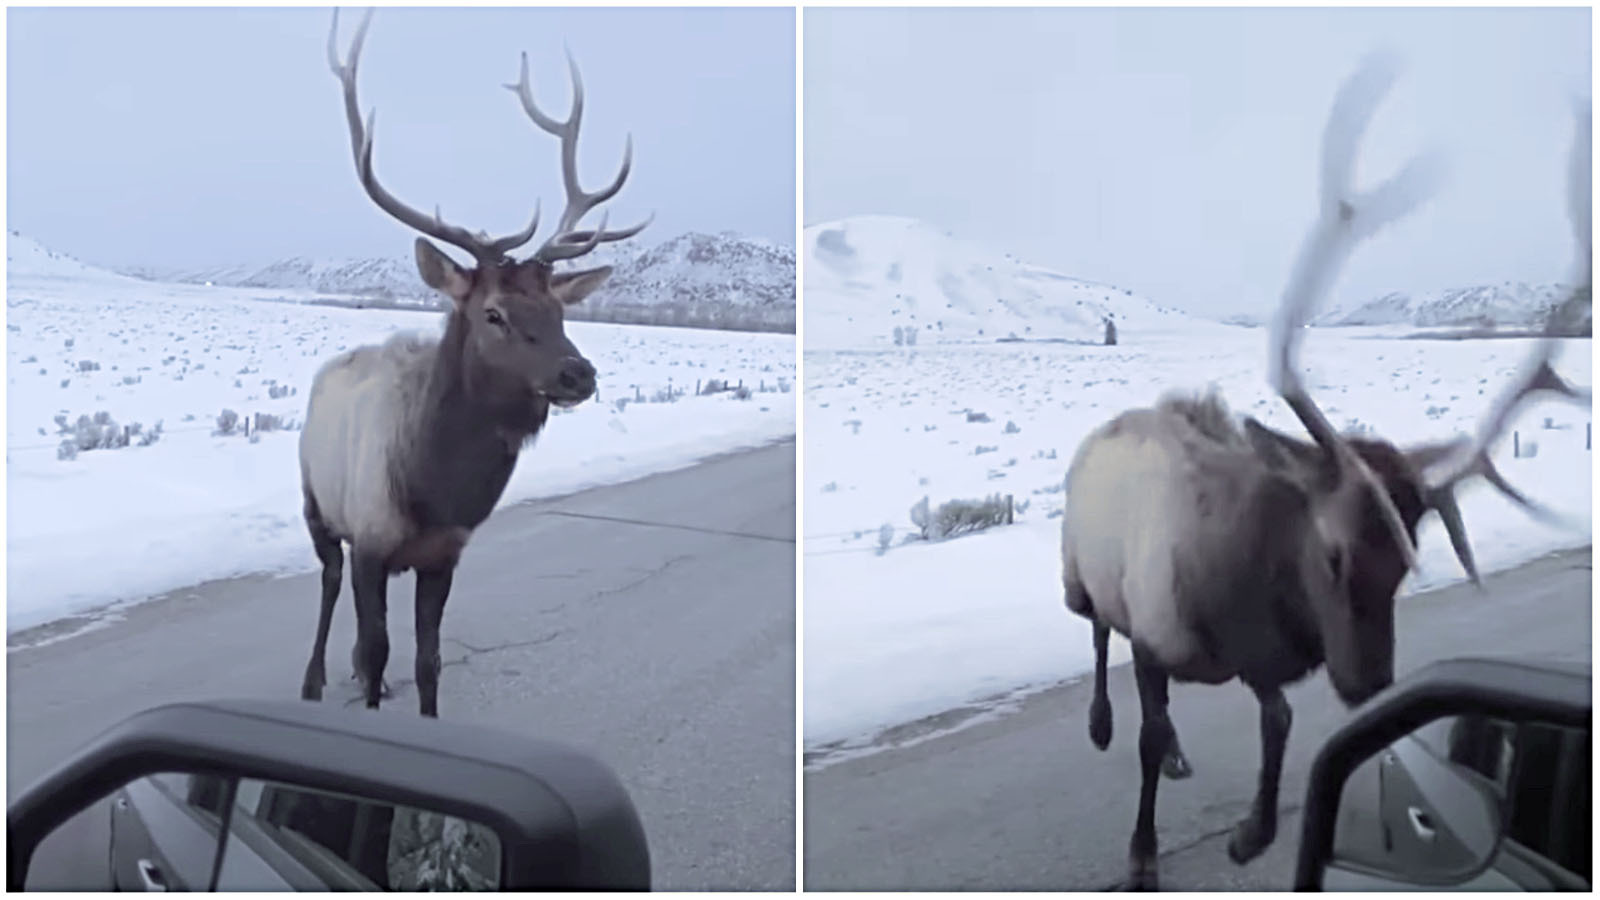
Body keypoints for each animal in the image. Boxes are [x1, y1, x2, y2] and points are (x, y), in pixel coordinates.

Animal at [298, 9, 651, 717]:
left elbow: (427, 661)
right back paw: (314, 678)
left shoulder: (445, 554)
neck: (434, 490)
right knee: (327, 581)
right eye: (493, 313)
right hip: (316, 502)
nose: (579, 374)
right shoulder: (371, 540)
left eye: (560, 309)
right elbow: (378, 652)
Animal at [1059, 54, 1590, 891]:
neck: (1233, 584)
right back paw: (1105, 720)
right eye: (1334, 555)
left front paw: (1251, 832)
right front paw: (1143, 852)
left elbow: (1274, 719)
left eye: (1410, 559)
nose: (1373, 685)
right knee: (1096, 638)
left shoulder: (1255, 652)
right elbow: (1144, 726)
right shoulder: (1154, 626)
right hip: (1080, 576)